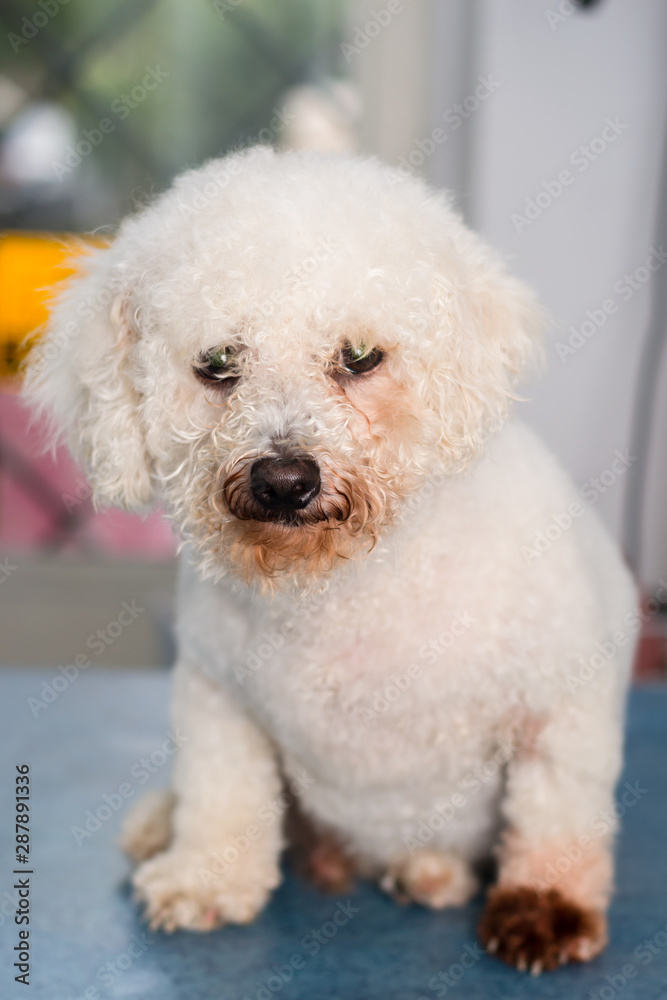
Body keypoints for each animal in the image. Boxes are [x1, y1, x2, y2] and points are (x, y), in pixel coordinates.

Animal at [26, 150, 640, 976]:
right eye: (218, 364)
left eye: (358, 358)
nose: (284, 480)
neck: (338, 587)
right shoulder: (217, 699)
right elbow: (220, 796)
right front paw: (205, 875)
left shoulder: (557, 702)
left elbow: (555, 814)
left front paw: (546, 908)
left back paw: (429, 872)